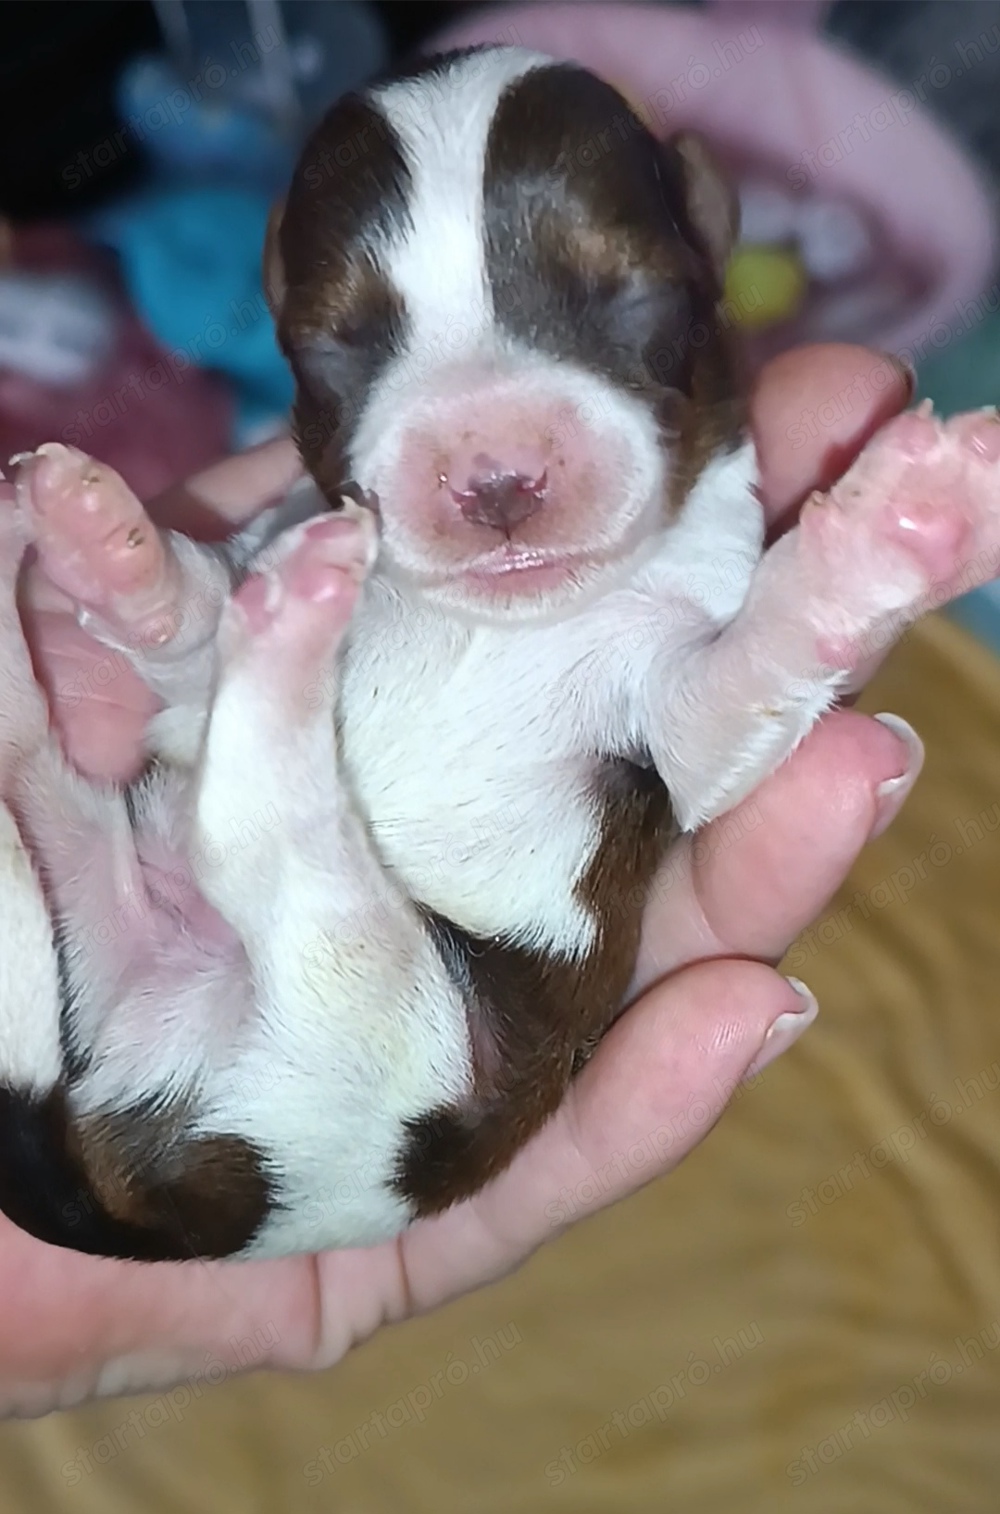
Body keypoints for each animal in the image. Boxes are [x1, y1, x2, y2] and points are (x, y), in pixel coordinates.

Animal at [1, 47, 998, 1259]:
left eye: (634, 298)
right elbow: (193, 626)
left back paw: (278, 621)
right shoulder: (218, 639)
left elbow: (751, 662)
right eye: (334, 344)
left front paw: (896, 522)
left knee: (239, 831)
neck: (494, 621)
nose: (496, 478)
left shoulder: (680, 713)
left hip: (376, 1003)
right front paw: (115, 547)